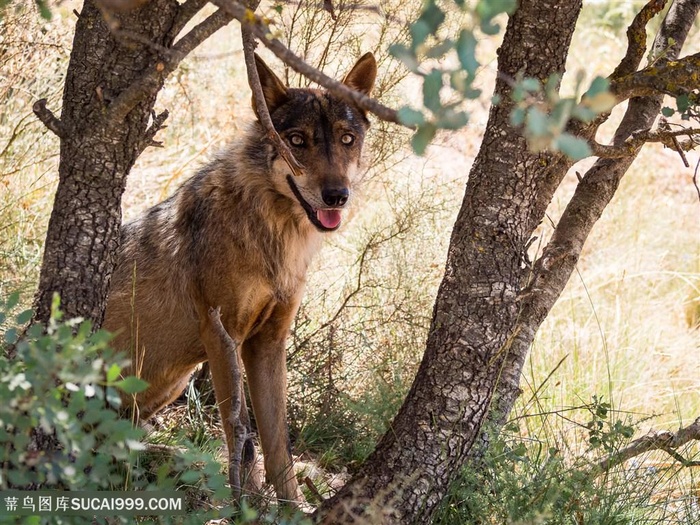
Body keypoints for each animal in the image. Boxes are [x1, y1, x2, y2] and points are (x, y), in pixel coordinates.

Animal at [102, 53, 378, 504]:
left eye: (346, 138)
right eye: (297, 140)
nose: (337, 196)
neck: (276, 237)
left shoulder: (268, 342)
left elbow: (278, 446)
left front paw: (291, 508)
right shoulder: (223, 334)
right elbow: (242, 437)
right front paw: (245, 505)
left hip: (170, 384)